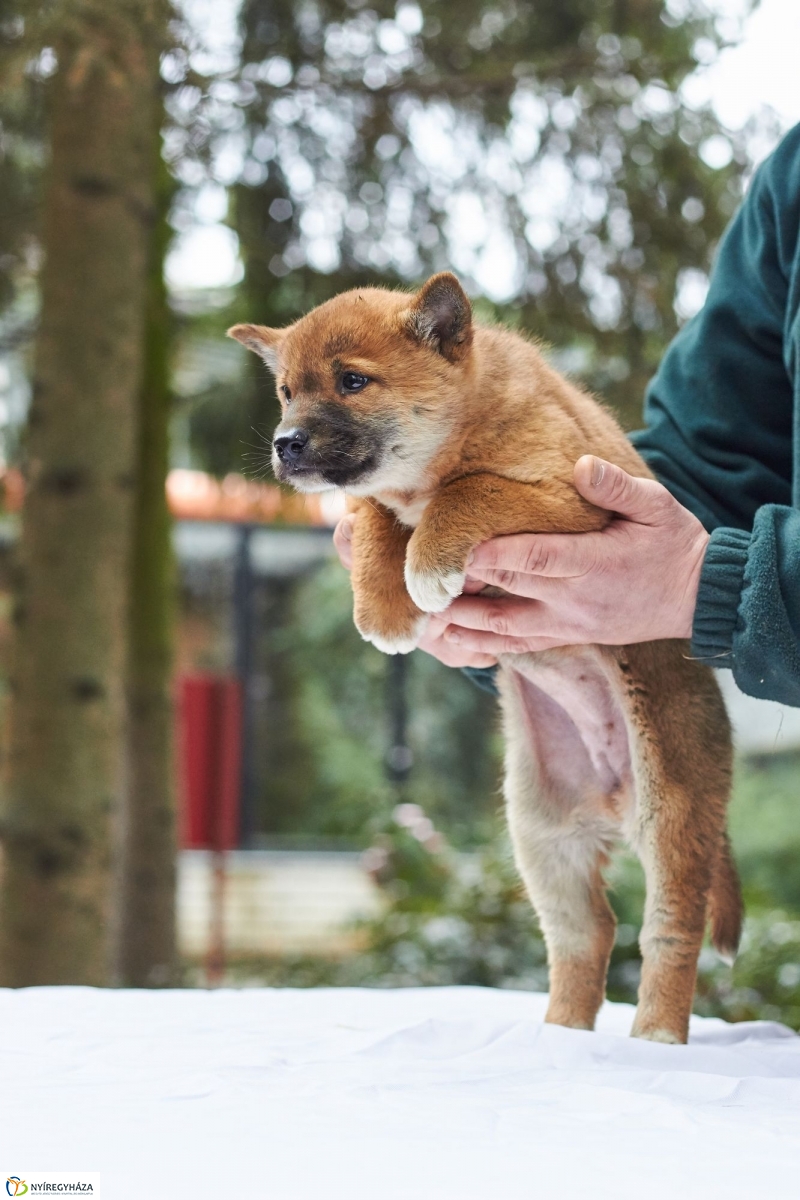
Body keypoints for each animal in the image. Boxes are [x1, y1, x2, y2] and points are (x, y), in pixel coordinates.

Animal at [227, 276, 743, 1046]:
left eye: (352, 382)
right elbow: (374, 514)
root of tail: (613, 797)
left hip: (670, 816)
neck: (466, 425)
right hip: (540, 835)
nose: (285, 445)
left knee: (667, 935)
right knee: (586, 932)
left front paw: (427, 562)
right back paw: (560, 1033)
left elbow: (470, 490)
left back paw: (655, 1034)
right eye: (287, 391)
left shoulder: (575, 500)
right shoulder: (384, 499)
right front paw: (382, 602)